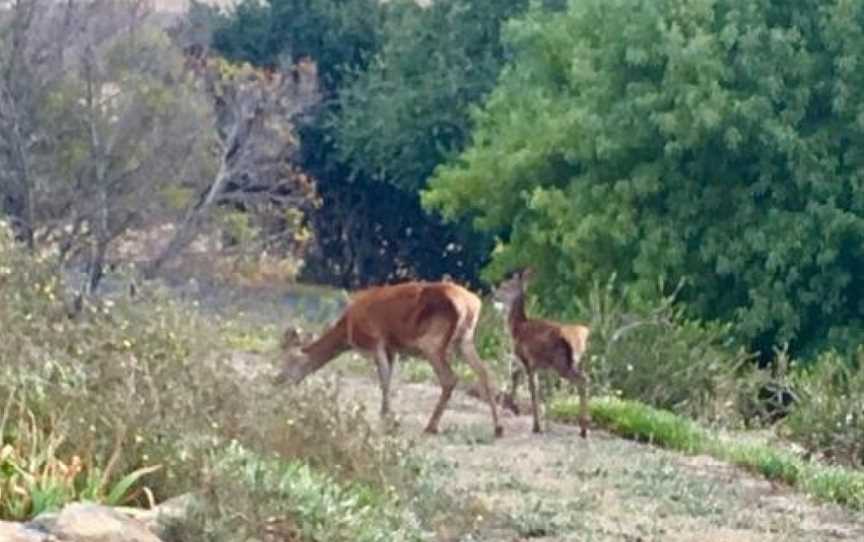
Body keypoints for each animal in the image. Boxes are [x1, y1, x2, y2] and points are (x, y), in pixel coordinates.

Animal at [276, 282, 506, 440]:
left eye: (290, 361)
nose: (278, 381)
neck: (348, 331)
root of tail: (471, 305)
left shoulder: (375, 340)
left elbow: (384, 380)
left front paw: (385, 417)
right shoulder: (392, 348)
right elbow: (389, 379)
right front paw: (387, 415)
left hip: (431, 341)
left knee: (450, 378)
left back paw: (431, 426)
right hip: (465, 340)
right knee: (485, 373)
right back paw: (498, 428)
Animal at [492, 270, 592, 440]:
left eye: (505, 286)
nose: (494, 295)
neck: (517, 328)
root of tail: (580, 336)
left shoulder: (527, 359)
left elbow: (531, 390)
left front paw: (535, 425)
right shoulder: (542, 366)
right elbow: (545, 393)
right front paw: (545, 424)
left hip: (561, 363)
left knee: (583, 380)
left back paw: (584, 430)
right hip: (571, 362)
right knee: (584, 378)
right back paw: (583, 428)